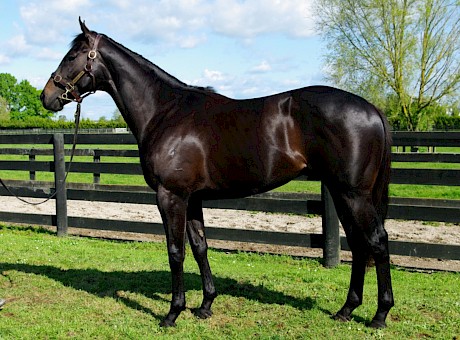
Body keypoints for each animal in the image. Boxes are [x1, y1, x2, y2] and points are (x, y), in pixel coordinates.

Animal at [41, 19, 396, 328]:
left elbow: (176, 251)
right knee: (359, 244)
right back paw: (346, 309)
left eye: (72, 55)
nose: (47, 96)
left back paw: (380, 315)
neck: (164, 112)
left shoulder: (170, 196)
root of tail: (372, 109)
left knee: (377, 240)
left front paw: (173, 313)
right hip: (340, 192)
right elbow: (200, 247)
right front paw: (205, 305)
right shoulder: (192, 198)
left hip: (353, 194)